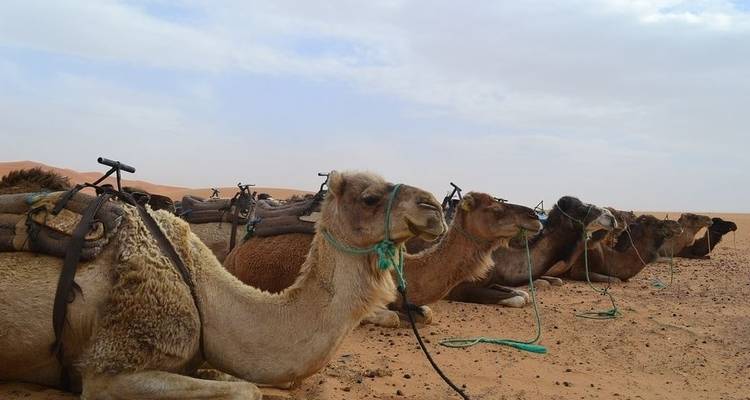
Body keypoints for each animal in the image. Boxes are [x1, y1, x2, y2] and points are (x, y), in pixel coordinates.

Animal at [0, 171, 445, 399]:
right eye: (370, 198)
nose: (434, 207)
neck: (204, 294)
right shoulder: (108, 369)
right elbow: (248, 391)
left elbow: (241, 382)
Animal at [447, 196, 617, 305]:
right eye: (581, 208)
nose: (611, 216)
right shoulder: (458, 288)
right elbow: (520, 299)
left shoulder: (492, 280)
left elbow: (522, 294)